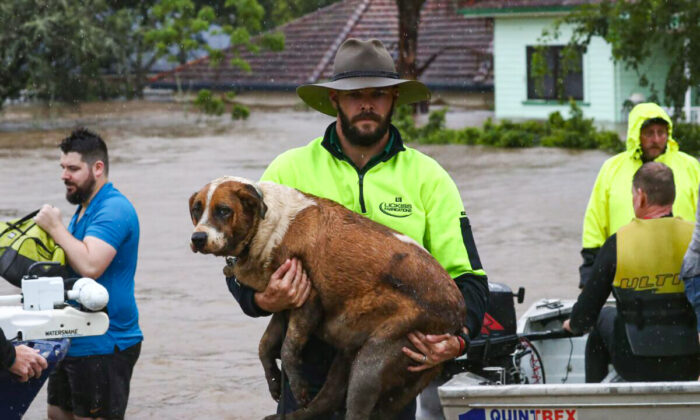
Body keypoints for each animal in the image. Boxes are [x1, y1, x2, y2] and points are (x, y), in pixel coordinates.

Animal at [189, 177, 468, 420]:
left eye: (223, 210)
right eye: (196, 209)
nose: (198, 238)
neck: (266, 227)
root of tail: (457, 315)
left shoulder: (308, 302)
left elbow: (287, 349)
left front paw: (297, 385)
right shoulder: (284, 302)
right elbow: (265, 345)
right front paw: (274, 382)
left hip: (374, 359)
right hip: (348, 358)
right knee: (328, 400)